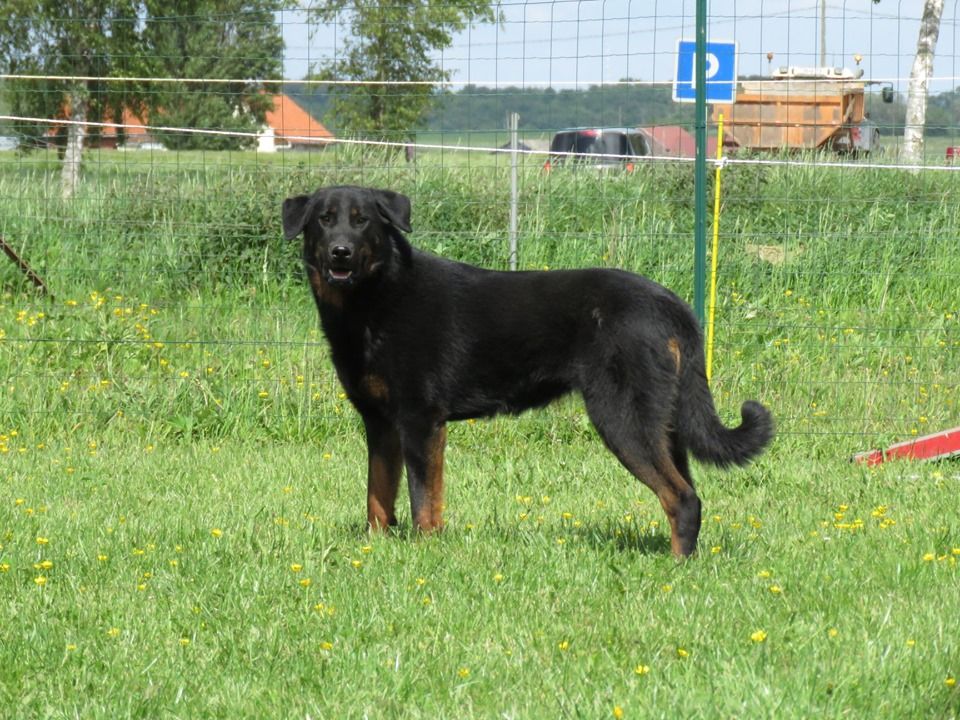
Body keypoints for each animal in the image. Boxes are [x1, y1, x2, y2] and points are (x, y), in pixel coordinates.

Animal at [280, 186, 772, 556]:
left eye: (363, 221)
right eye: (324, 220)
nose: (340, 252)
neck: (375, 299)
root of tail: (670, 304)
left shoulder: (421, 422)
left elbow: (424, 500)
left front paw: (425, 549)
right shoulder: (380, 423)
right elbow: (378, 496)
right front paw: (376, 547)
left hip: (622, 420)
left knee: (682, 499)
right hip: (664, 427)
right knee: (687, 494)